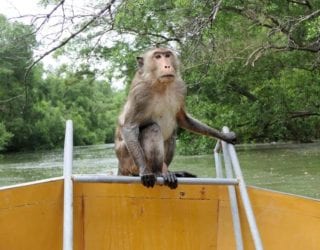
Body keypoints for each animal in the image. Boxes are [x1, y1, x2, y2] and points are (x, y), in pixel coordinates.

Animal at [115, 47, 235, 188]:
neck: (161, 84)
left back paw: (167, 172)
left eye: (167, 55)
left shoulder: (181, 87)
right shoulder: (140, 93)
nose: (167, 65)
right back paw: (156, 172)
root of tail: (120, 166)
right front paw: (145, 171)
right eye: (158, 57)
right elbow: (129, 127)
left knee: (172, 135)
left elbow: (183, 119)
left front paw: (225, 136)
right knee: (152, 128)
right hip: (127, 159)